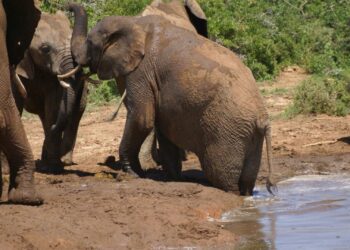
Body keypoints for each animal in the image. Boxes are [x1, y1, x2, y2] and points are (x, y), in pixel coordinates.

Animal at [67, 3, 276, 195]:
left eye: (89, 43)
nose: (68, 7)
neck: (131, 22)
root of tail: (263, 118)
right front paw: (173, 178)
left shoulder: (141, 71)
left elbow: (142, 118)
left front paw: (132, 173)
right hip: (246, 134)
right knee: (246, 180)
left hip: (227, 129)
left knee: (222, 177)